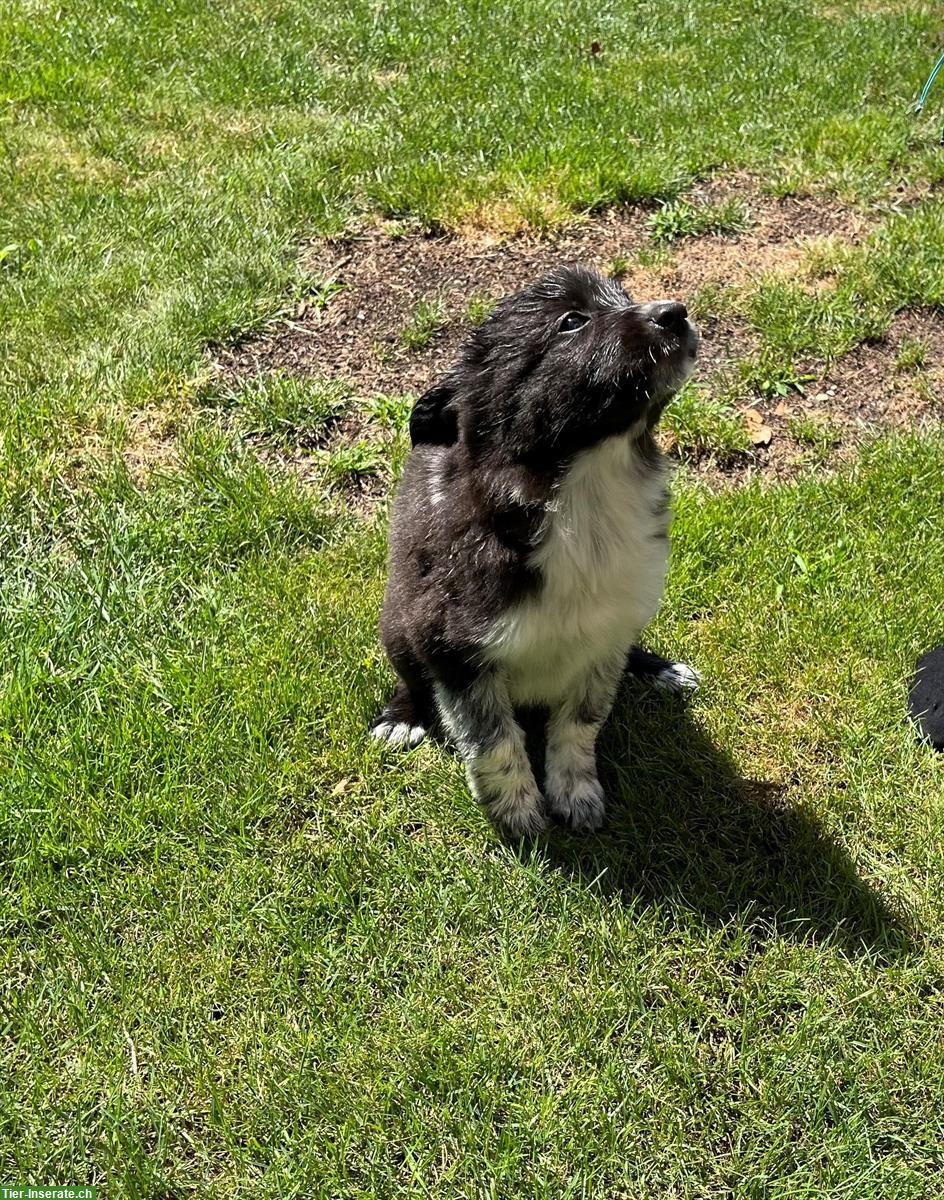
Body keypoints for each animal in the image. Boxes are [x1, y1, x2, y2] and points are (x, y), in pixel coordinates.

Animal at [376, 267, 700, 840]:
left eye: (624, 296)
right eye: (572, 322)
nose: (675, 312)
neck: (582, 488)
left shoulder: (604, 641)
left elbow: (578, 725)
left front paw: (575, 793)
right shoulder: (453, 650)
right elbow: (494, 740)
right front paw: (519, 813)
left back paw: (658, 668)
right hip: (398, 623)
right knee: (412, 677)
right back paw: (403, 716)